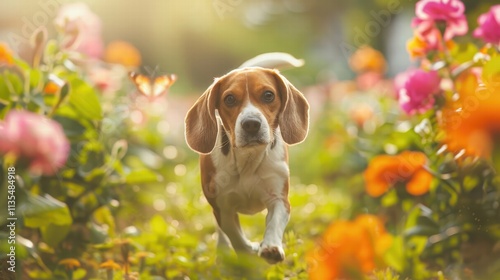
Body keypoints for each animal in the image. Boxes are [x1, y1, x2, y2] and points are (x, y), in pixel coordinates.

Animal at [185, 65, 308, 262]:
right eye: (229, 99)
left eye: (268, 95)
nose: (251, 124)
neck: (248, 161)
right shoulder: (223, 208)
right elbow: (235, 236)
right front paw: (248, 250)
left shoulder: (279, 199)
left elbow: (274, 223)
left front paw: (271, 246)